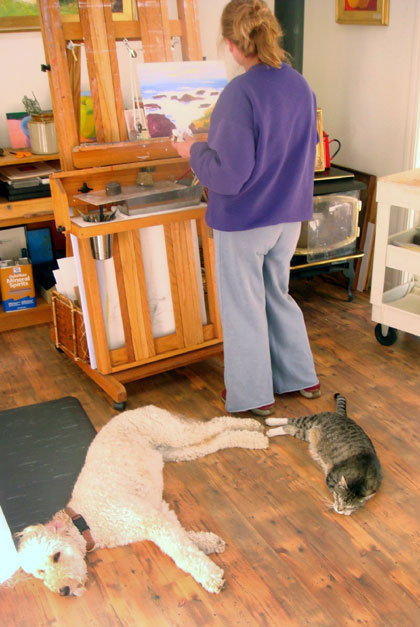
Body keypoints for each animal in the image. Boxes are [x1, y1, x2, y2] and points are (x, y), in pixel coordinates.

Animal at [16, 408, 268, 600]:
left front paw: (210, 576)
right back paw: (251, 437)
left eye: (56, 556)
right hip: (176, 451)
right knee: (215, 441)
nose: (63, 591)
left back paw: (254, 428)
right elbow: (183, 538)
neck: (87, 520)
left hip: (175, 433)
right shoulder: (158, 514)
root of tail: (134, 409)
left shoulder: (147, 520)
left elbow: (181, 552)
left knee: (217, 423)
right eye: (40, 571)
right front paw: (208, 543)